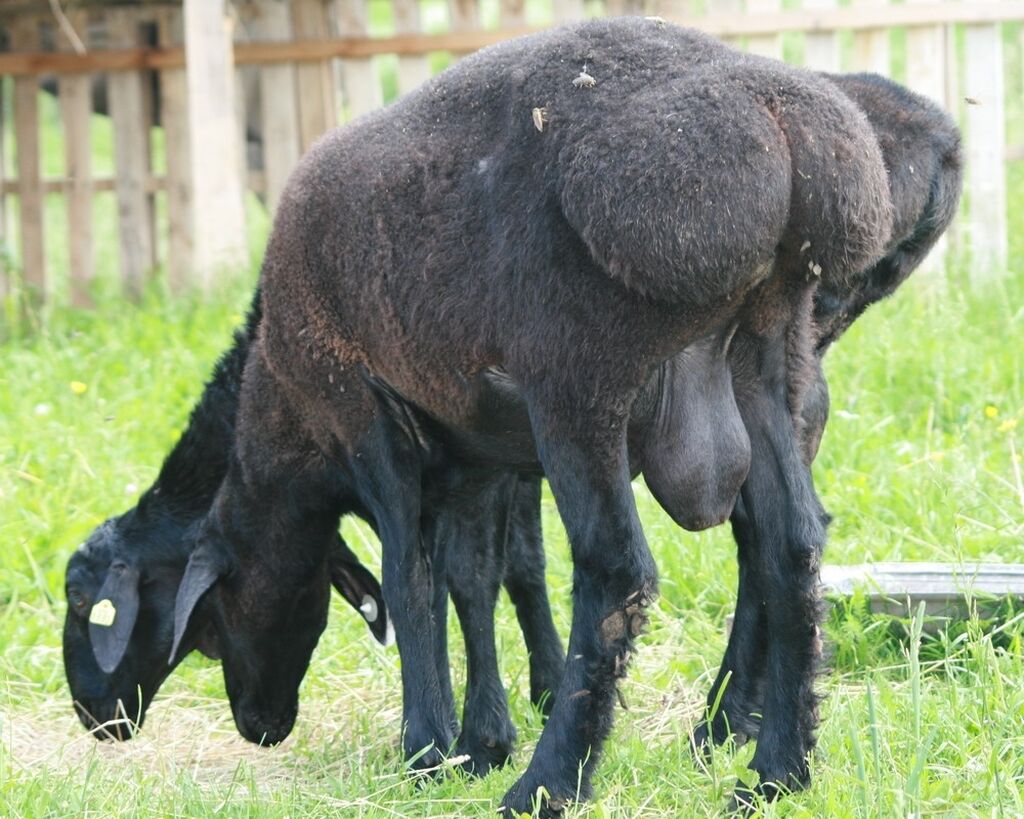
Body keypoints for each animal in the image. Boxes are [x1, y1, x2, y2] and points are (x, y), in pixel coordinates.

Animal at [165, 19, 888, 810]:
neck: (285, 417)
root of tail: (782, 124)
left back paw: (552, 782)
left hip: (578, 379)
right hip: (761, 360)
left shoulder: (364, 414)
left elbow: (408, 579)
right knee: (791, 547)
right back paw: (775, 772)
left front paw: (428, 749)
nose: (257, 725)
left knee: (616, 574)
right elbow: (469, 577)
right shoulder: (475, 459)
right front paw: (476, 741)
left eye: (212, 624)